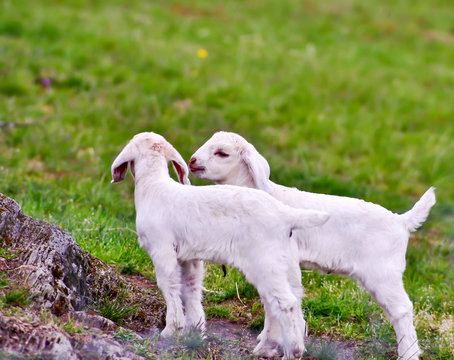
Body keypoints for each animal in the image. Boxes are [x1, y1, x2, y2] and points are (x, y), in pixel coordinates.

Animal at [189, 131, 436, 360]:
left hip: (382, 273)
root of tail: (402, 221)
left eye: (222, 153)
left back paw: (408, 354)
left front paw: (272, 345)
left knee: (402, 310)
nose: (192, 161)